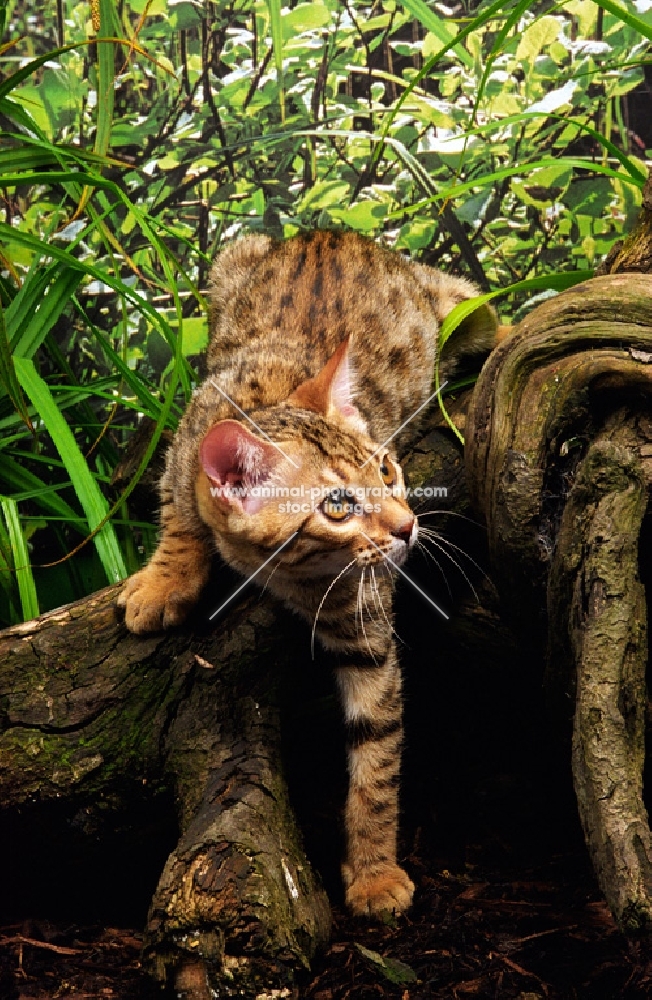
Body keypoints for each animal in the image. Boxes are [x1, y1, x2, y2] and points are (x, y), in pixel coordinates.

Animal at [118, 230, 494, 916]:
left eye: (387, 469)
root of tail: (331, 232)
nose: (407, 526)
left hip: (459, 301)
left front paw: (373, 870)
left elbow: (377, 759)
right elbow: (180, 509)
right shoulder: (187, 444)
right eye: (337, 507)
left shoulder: (367, 631)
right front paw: (165, 578)